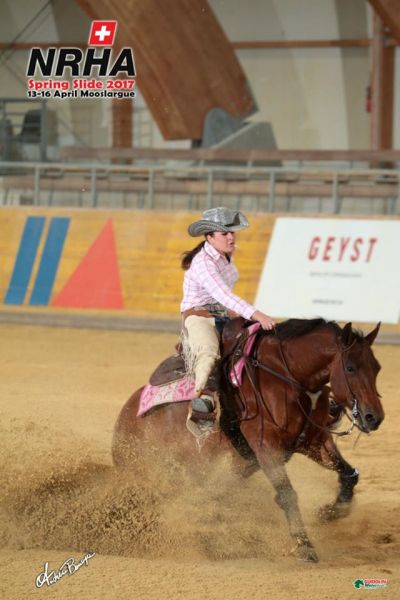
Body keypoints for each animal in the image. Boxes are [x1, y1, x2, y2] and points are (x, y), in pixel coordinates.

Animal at [112, 318, 384, 564]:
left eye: (377, 368)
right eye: (350, 368)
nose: (374, 417)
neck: (287, 377)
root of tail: (123, 421)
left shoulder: (312, 442)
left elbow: (349, 474)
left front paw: (329, 512)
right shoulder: (266, 448)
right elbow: (287, 493)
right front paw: (305, 546)